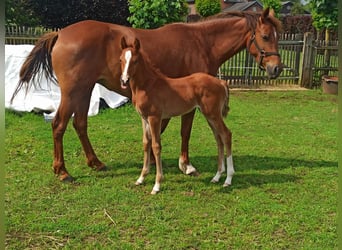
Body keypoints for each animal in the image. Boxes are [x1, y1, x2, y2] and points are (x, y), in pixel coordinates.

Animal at [119, 36, 234, 193]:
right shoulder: (144, 119)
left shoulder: (155, 118)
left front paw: (157, 184)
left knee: (226, 135)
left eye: (135, 61)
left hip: (213, 114)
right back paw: (217, 177)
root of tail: (221, 82)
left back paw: (228, 179)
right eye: (120, 59)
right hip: (209, 115)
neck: (148, 86)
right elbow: (146, 143)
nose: (124, 80)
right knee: (219, 138)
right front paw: (141, 178)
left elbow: (156, 146)